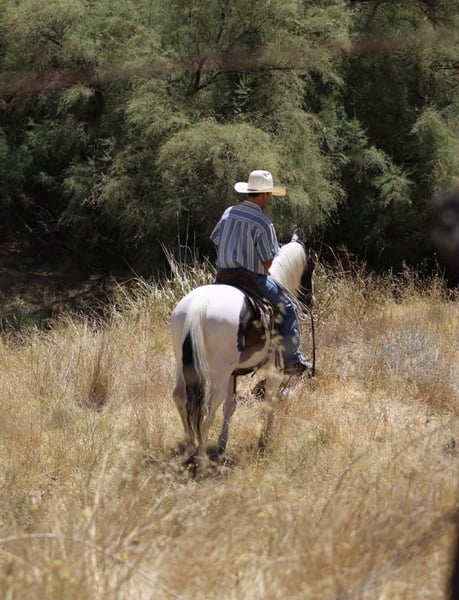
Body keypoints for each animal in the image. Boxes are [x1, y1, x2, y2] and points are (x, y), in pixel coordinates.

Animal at [170, 233, 317, 469]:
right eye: (313, 263)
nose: (310, 300)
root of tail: (197, 307)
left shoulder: (233, 373)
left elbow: (230, 406)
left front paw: (222, 445)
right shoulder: (274, 371)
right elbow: (269, 403)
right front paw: (265, 441)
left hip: (183, 365)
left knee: (180, 397)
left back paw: (190, 446)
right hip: (218, 374)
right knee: (207, 410)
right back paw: (201, 460)